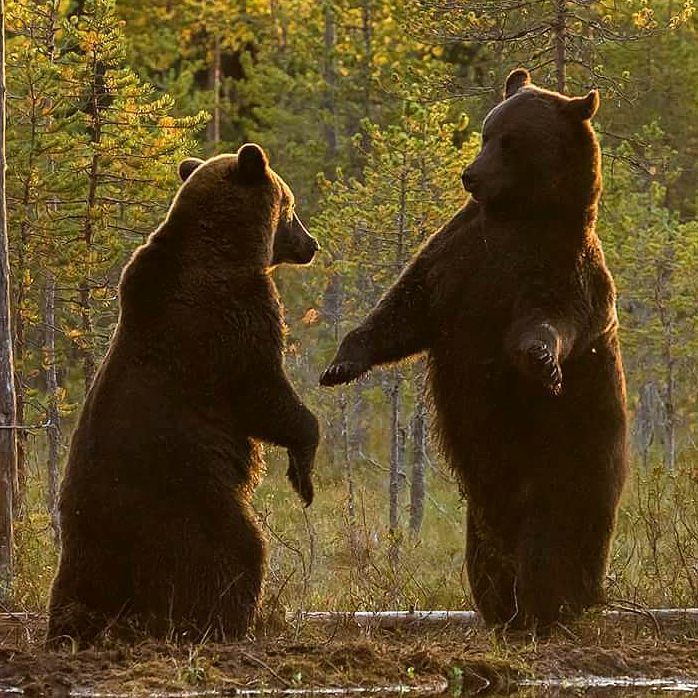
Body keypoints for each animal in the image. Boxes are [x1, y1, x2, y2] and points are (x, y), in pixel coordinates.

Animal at [47, 143, 320, 646]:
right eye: (290, 207)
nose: (311, 244)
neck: (228, 248)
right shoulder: (233, 323)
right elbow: (265, 394)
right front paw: (302, 472)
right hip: (189, 498)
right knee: (234, 552)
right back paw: (222, 624)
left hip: (87, 533)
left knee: (80, 581)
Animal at [320, 69, 628, 630]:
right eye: (487, 133)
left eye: (511, 141)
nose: (470, 176)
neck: (519, 218)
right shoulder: (461, 260)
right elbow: (403, 309)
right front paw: (341, 364)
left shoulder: (559, 272)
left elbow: (549, 322)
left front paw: (544, 363)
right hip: (486, 508)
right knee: (487, 552)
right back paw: (499, 604)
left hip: (576, 458)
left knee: (557, 541)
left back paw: (550, 606)